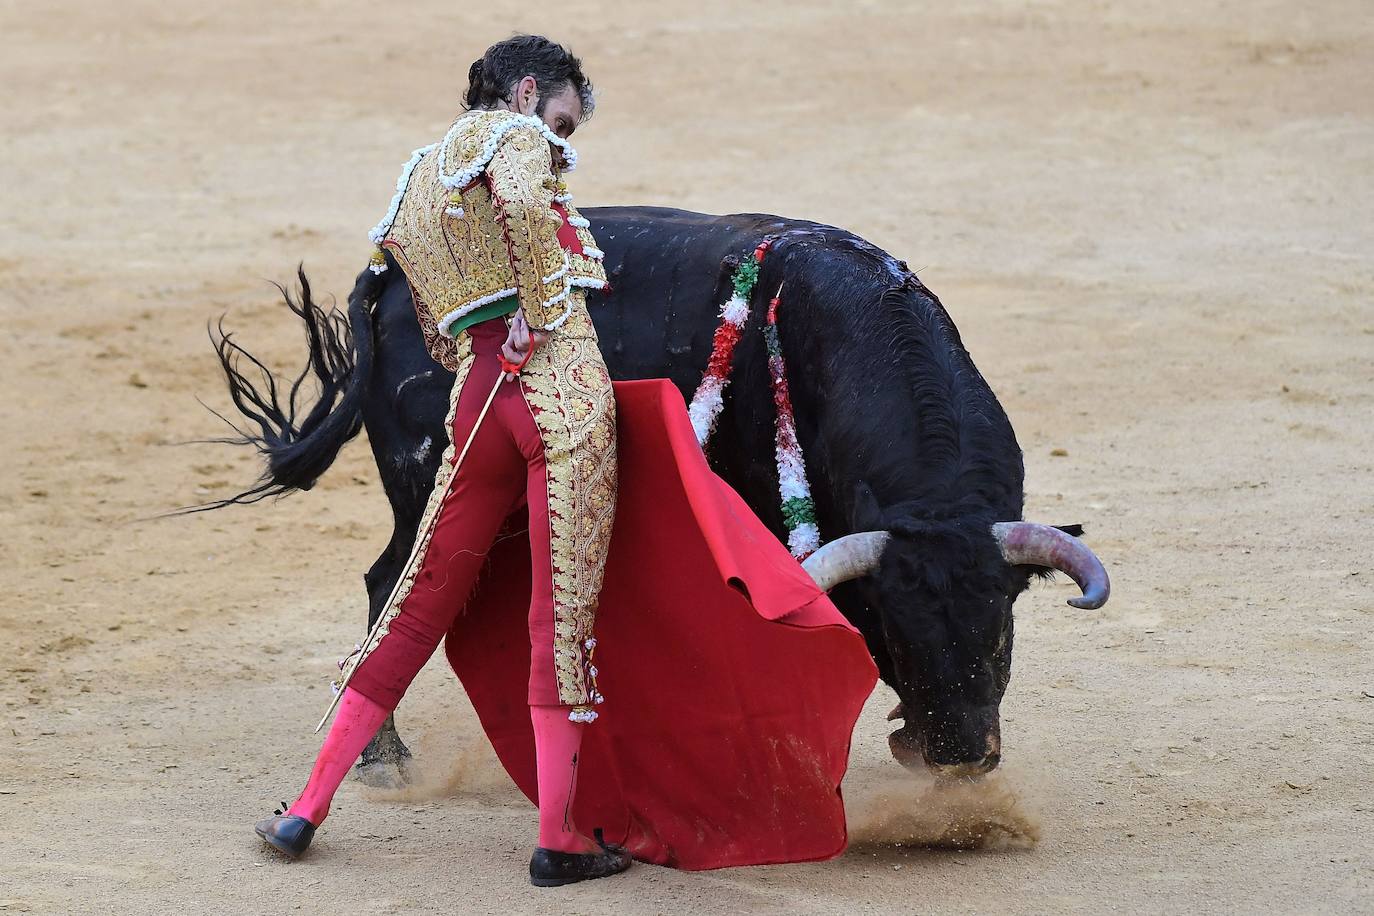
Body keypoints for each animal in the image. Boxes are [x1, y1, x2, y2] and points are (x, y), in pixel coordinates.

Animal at [208, 204, 1110, 785]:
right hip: (434, 484)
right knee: (392, 584)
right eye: (893, 627)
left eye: (1001, 626)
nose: (959, 754)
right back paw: (383, 759)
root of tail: (392, 279)